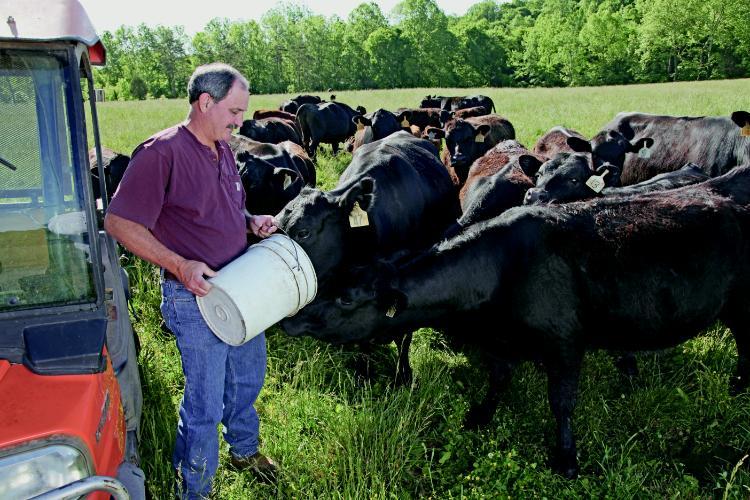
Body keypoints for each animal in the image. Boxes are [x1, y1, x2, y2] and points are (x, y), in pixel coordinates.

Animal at [282, 164, 750, 476]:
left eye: (346, 299)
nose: (293, 317)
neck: (503, 268)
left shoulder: (565, 343)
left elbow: (562, 403)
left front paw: (566, 458)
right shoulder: (500, 342)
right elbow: (498, 379)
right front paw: (479, 415)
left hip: (741, 308)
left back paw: (736, 389)